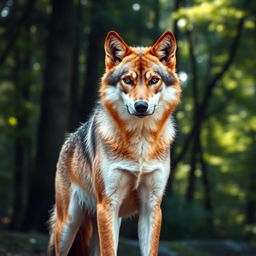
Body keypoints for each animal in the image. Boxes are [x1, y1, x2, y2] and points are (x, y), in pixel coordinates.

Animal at [47, 30, 181, 256]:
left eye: (154, 80)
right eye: (128, 80)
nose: (141, 106)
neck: (140, 143)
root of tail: (68, 140)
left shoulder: (151, 207)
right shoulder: (108, 204)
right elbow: (109, 251)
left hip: (110, 222)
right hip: (68, 226)